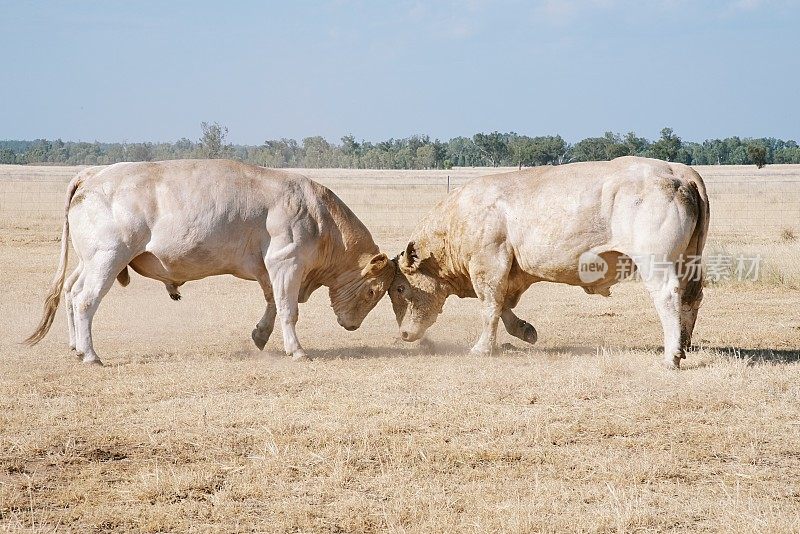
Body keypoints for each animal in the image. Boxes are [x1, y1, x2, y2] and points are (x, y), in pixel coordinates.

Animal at [26, 161, 396, 366]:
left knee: (70, 293)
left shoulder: (269, 268)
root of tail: (93, 174)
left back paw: (76, 347)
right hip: (107, 258)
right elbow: (288, 309)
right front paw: (297, 350)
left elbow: (271, 303)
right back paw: (90, 354)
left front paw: (260, 336)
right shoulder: (286, 262)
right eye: (373, 292)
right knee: (85, 300)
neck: (322, 217)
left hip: (88, 261)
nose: (351, 326)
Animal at [390, 157, 708, 370]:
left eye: (400, 289)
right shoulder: (510, 271)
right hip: (689, 261)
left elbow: (490, 307)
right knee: (691, 298)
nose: (404, 334)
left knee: (668, 297)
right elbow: (504, 307)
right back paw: (684, 343)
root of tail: (678, 170)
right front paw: (524, 330)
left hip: (655, 262)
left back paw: (671, 355)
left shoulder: (489, 264)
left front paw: (482, 348)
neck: (456, 219)